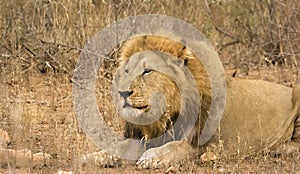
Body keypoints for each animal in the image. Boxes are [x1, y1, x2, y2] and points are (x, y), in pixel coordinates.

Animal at [80, 34, 300, 169]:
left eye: (147, 71)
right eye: (126, 70)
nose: (122, 92)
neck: (165, 114)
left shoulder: (198, 146)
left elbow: (174, 147)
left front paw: (153, 157)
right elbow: (117, 147)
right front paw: (93, 157)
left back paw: (280, 149)